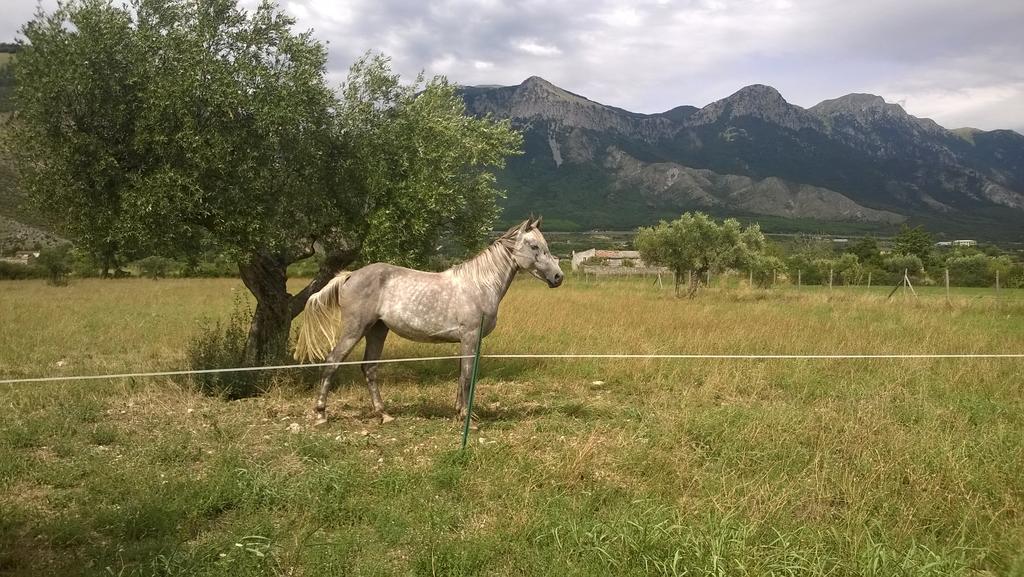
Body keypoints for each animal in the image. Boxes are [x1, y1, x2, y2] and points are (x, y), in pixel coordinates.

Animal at [292, 217, 565, 424]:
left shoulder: (467, 341)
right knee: (332, 362)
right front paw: (467, 418)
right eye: (533, 246)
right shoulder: (469, 337)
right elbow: (467, 376)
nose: (558, 277)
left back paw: (384, 414)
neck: (479, 284)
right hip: (355, 329)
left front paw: (459, 412)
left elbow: (462, 375)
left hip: (377, 330)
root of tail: (349, 276)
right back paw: (321, 415)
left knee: (369, 368)